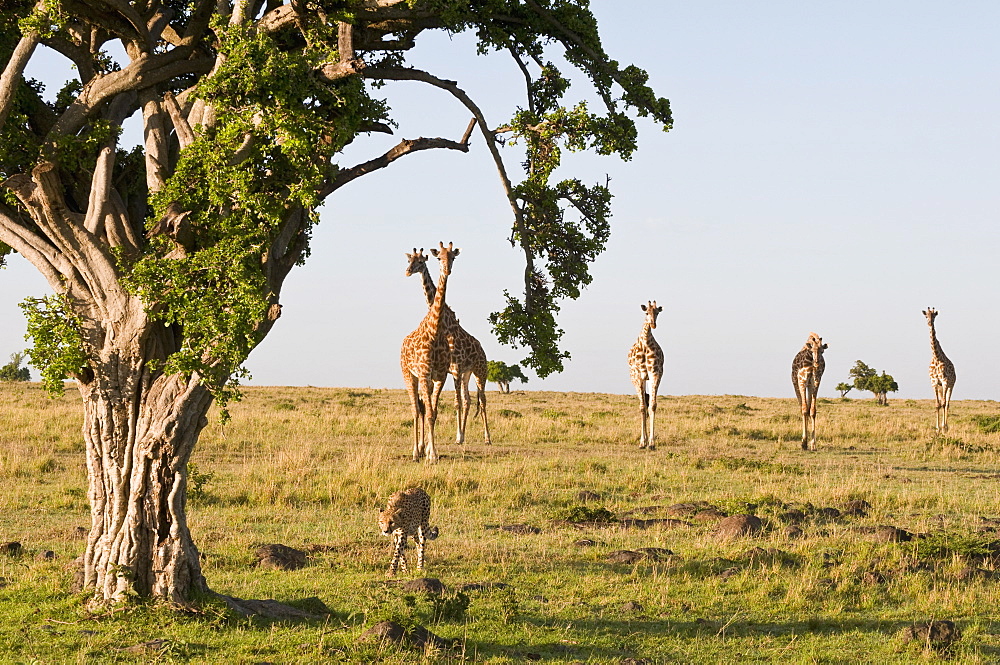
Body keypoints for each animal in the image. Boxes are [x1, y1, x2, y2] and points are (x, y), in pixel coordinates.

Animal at [400, 241, 458, 464]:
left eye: (453, 257)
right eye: (438, 257)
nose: (447, 269)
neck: (435, 331)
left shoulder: (439, 376)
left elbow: (434, 413)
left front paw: (433, 453)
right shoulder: (424, 374)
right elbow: (427, 412)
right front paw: (428, 454)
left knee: (424, 409)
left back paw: (422, 449)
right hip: (409, 375)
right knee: (416, 410)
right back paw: (415, 452)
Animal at [402, 246, 488, 444]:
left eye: (420, 262)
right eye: (409, 261)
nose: (408, 271)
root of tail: (483, 350)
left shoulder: (454, 368)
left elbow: (456, 402)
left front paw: (458, 436)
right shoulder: (452, 371)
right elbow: (448, 403)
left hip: (480, 372)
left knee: (482, 400)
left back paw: (487, 437)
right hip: (467, 373)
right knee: (468, 399)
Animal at [624, 300, 664, 446]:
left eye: (657, 313)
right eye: (646, 312)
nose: (653, 324)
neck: (645, 343)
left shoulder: (655, 373)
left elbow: (652, 405)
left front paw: (651, 442)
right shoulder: (637, 375)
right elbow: (642, 407)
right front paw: (642, 442)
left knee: (648, 404)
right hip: (637, 378)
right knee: (644, 405)